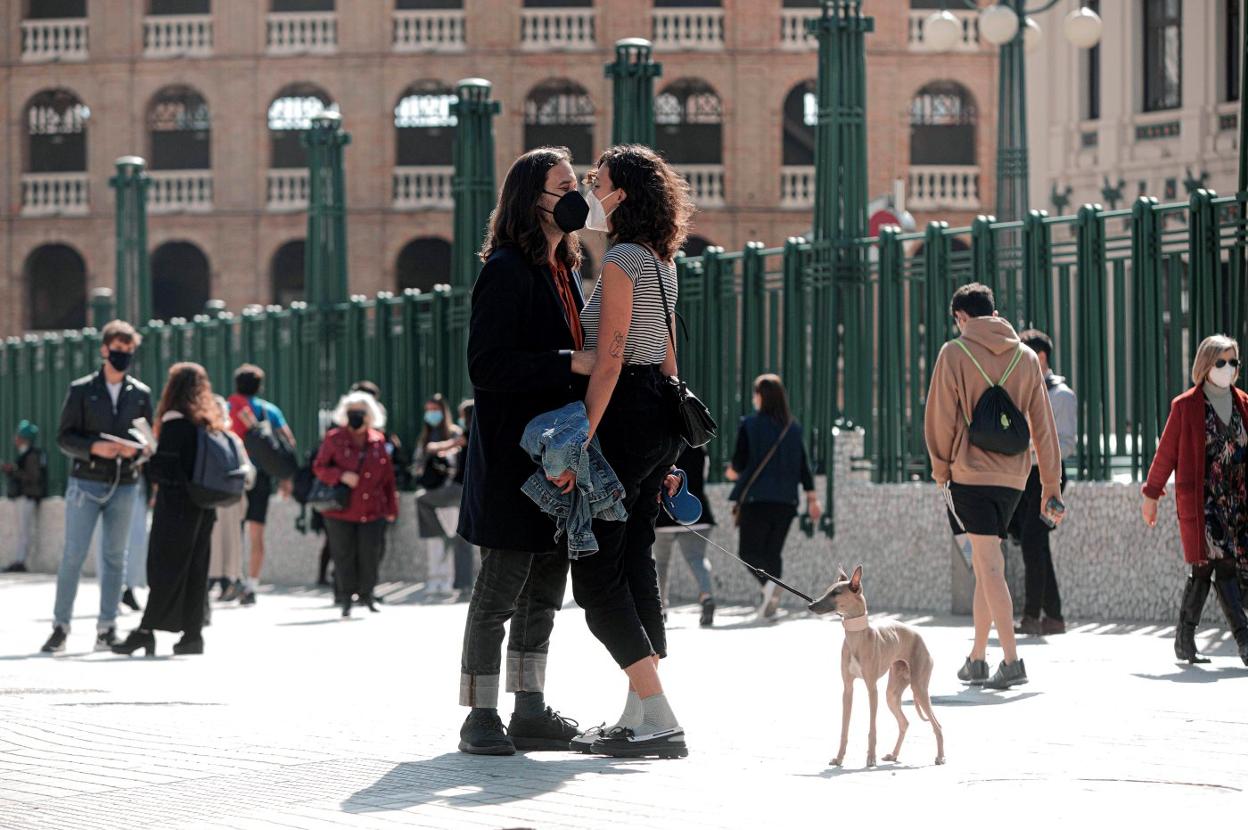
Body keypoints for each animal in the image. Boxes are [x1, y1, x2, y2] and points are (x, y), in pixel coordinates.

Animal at [808, 564, 943, 763]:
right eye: (827, 590)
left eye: (836, 593)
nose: (810, 605)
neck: (857, 637)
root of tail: (918, 636)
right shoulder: (847, 689)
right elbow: (844, 729)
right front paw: (839, 758)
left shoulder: (872, 689)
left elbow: (872, 728)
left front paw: (871, 757)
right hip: (892, 694)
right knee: (904, 722)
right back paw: (893, 755)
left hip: (918, 689)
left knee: (937, 725)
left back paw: (940, 757)